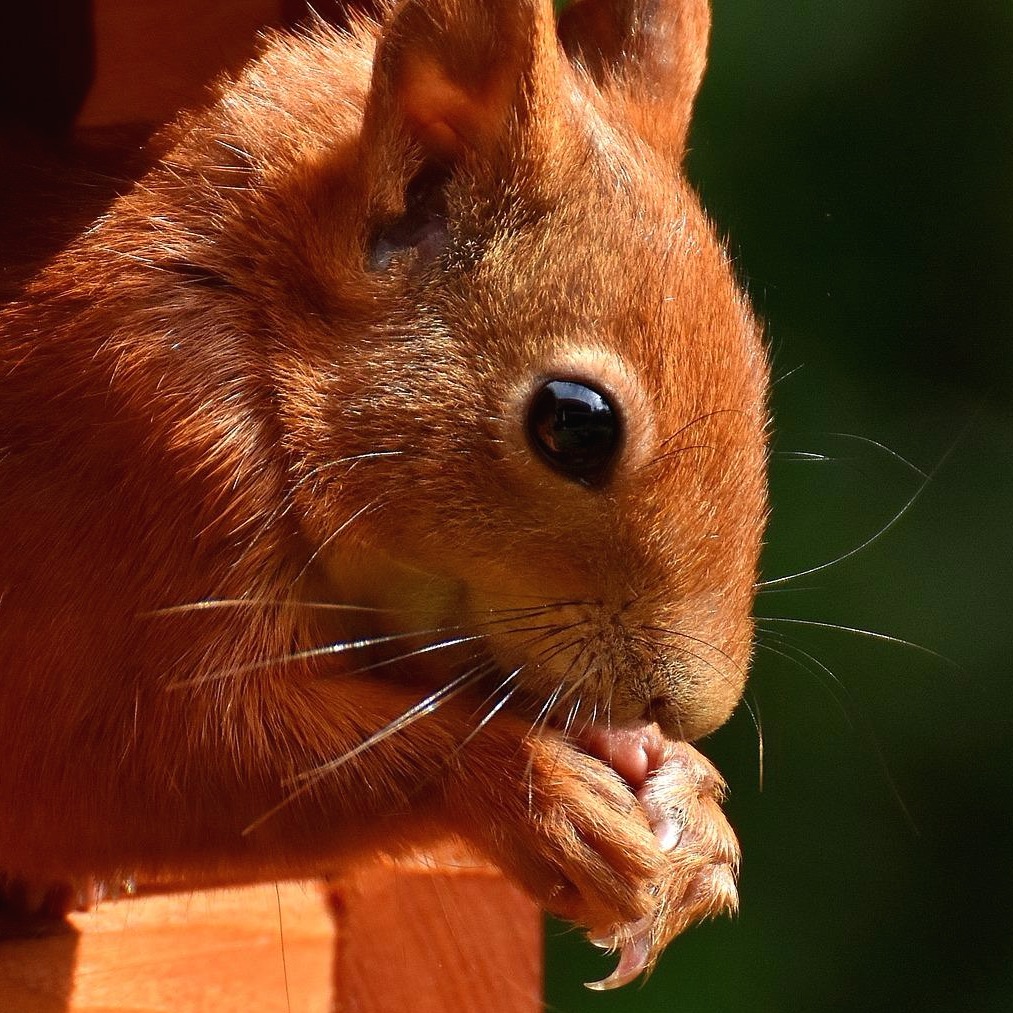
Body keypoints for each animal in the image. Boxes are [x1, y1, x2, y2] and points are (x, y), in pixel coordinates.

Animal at [0, 0, 765, 984]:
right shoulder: (142, 447)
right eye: (574, 423)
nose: (684, 707)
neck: (257, 314)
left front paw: (686, 803)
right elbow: (135, 760)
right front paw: (539, 791)